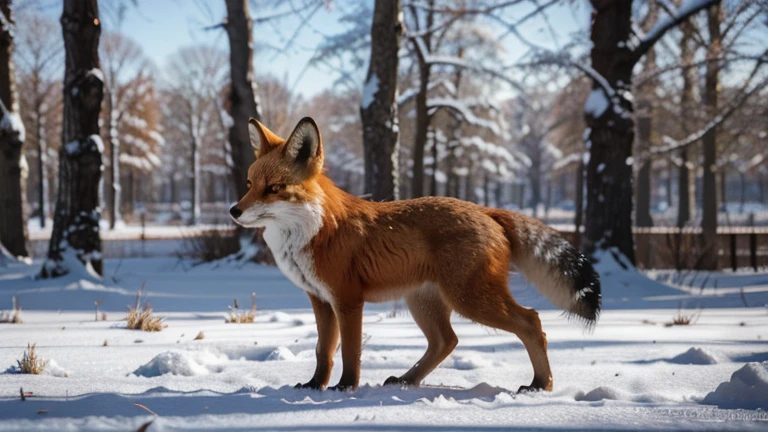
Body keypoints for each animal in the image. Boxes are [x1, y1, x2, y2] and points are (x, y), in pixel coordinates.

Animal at [231, 116, 604, 394]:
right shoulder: (320, 300)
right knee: (446, 341)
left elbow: (350, 352)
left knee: (532, 322)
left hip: (470, 300)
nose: (234, 211)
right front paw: (314, 386)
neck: (316, 230)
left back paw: (541, 384)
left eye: (274, 189)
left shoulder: (347, 300)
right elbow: (324, 351)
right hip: (425, 303)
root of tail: (486, 210)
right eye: (249, 184)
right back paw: (407, 381)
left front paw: (345, 388)